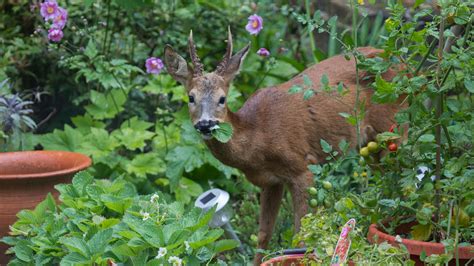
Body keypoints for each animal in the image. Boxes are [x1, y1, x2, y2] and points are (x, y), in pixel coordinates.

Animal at [164, 29, 404, 264]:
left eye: (222, 99)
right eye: (191, 97)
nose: (205, 124)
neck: (258, 139)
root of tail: (401, 61)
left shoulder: (302, 168)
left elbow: (301, 234)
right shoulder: (270, 181)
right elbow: (263, 234)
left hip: (394, 126)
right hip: (370, 146)